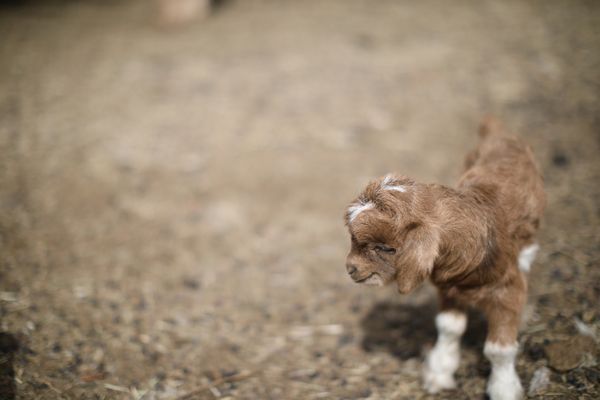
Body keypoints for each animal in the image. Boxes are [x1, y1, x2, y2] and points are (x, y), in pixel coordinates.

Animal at [344, 119, 548, 400]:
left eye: (386, 248)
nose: (350, 268)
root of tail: (498, 131)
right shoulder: (449, 287)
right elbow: (449, 326)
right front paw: (440, 372)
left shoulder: (508, 289)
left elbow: (499, 349)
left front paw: (504, 389)